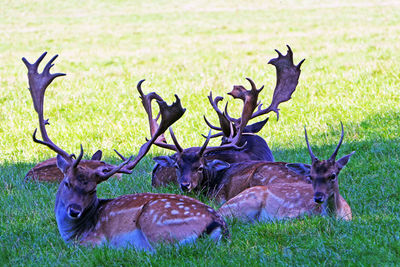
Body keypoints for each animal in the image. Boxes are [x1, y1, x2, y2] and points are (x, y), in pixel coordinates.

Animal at [22, 52, 228, 251]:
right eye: (67, 183)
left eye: (92, 190)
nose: (74, 211)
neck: (73, 232)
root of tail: (219, 225)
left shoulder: (93, 240)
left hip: (154, 221)